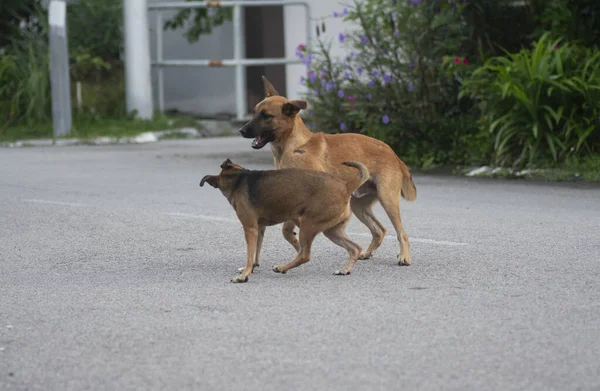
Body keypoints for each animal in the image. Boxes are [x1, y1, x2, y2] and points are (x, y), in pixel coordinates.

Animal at [202, 158, 370, 284]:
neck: (238, 178)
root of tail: (346, 186)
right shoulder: (259, 229)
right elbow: (256, 252)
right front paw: (251, 269)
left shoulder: (250, 228)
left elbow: (249, 255)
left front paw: (243, 276)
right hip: (332, 230)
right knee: (354, 248)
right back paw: (344, 270)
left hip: (308, 225)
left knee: (305, 255)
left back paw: (282, 267)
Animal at [239, 76, 418, 266]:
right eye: (254, 112)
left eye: (266, 116)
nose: (241, 130)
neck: (294, 146)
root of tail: (393, 154)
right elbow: (287, 230)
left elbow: (289, 229)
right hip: (358, 205)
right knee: (380, 230)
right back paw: (366, 253)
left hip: (387, 200)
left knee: (401, 233)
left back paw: (404, 256)